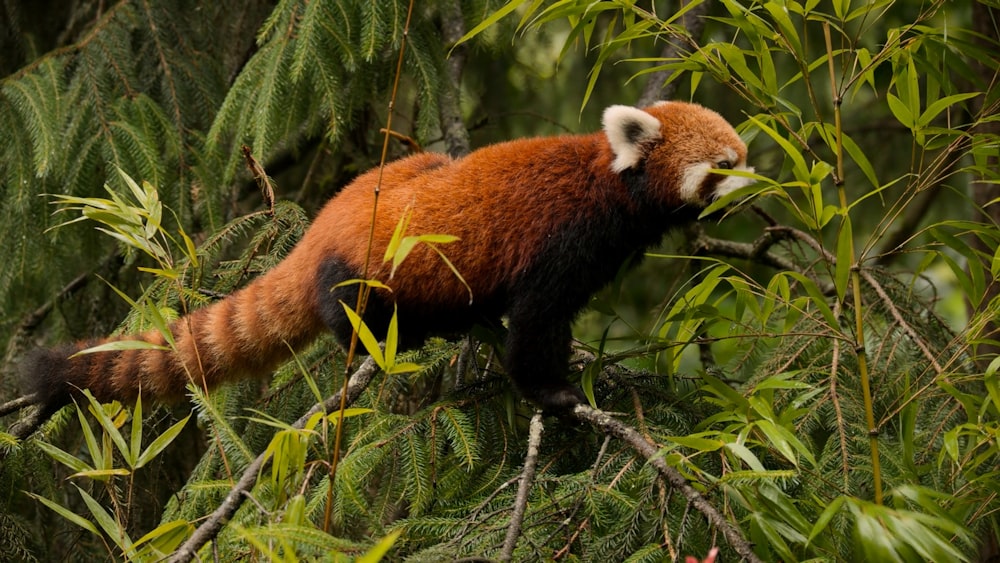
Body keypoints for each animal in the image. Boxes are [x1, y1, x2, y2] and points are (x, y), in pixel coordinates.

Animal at [17, 100, 752, 418]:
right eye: (723, 166)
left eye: (741, 157)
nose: (761, 186)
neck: (612, 185)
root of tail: (321, 224)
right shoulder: (562, 243)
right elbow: (535, 325)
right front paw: (554, 391)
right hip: (368, 272)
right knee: (358, 314)